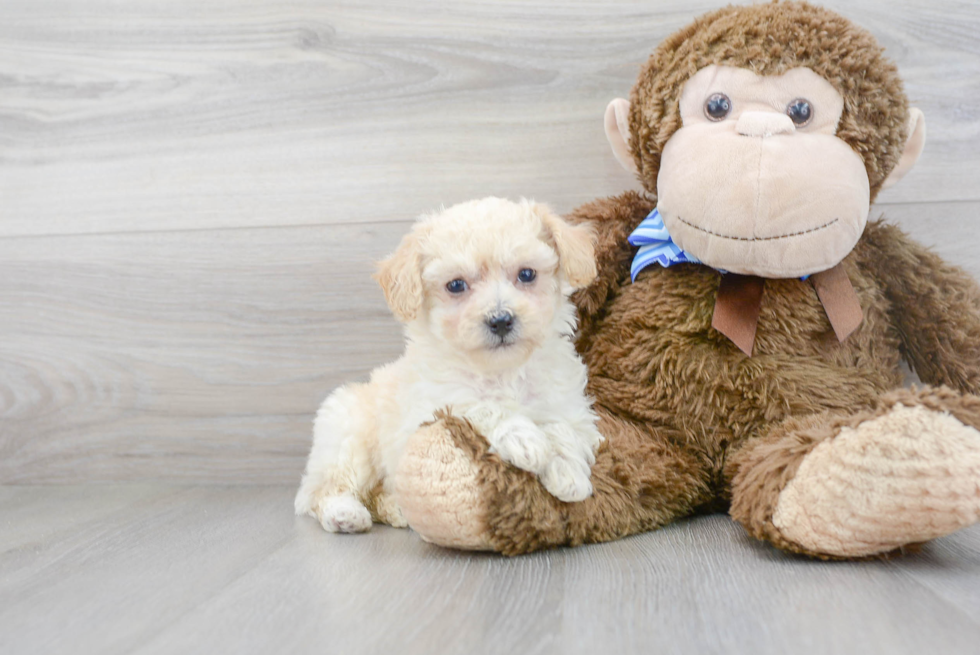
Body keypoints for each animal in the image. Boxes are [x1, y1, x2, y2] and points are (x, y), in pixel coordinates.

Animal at [292, 195, 604, 532]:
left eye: (527, 274)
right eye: (455, 285)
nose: (500, 320)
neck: (502, 371)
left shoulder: (566, 402)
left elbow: (564, 427)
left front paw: (567, 472)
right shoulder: (434, 407)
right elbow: (482, 406)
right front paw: (526, 440)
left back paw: (397, 509)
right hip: (347, 442)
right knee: (322, 492)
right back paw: (345, 513)